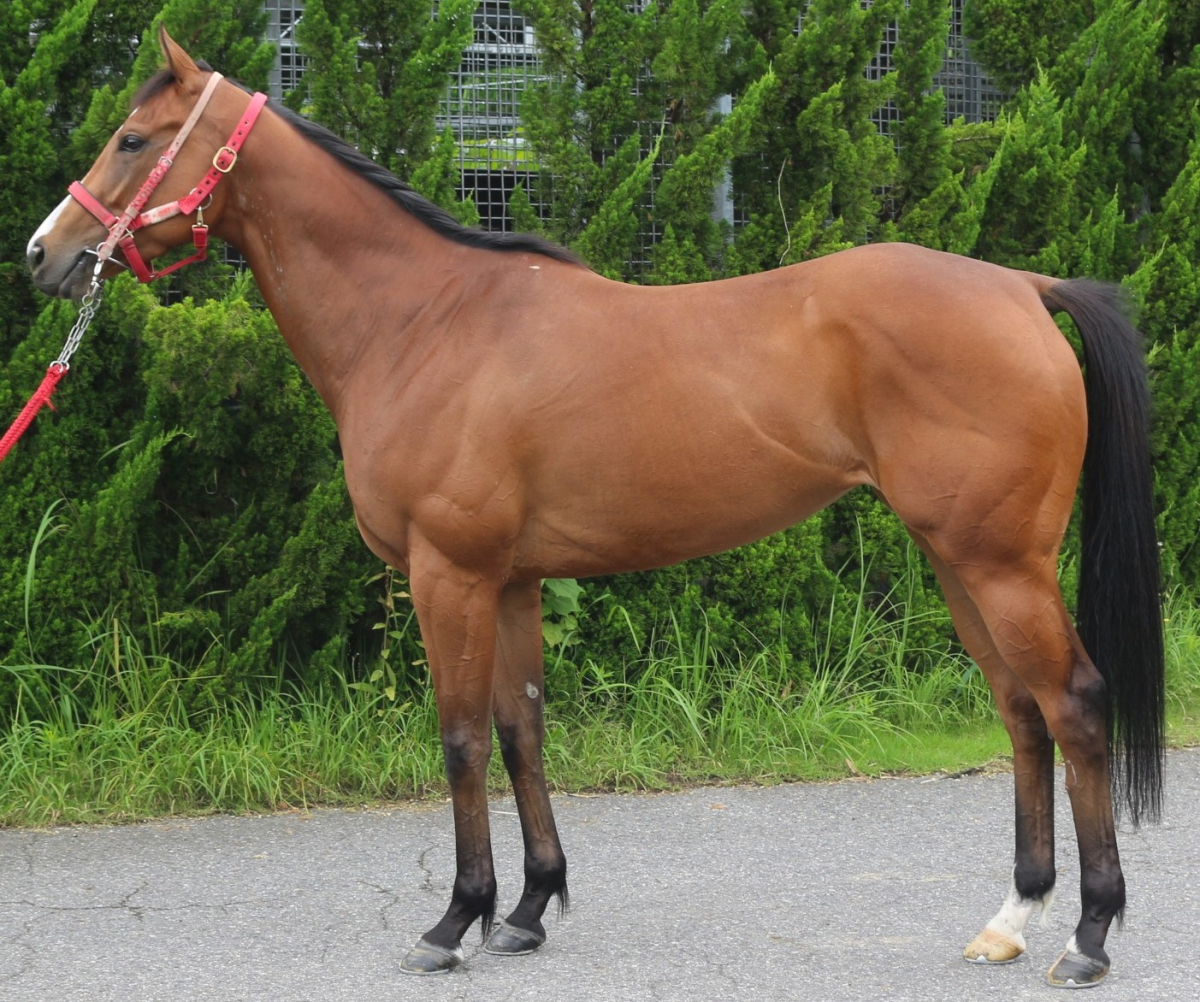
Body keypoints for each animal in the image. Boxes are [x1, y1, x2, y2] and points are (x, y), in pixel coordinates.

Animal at [26, 29, 1163, 988]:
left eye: (133, 138)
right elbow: (522, 731)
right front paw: (529, 909)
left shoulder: (449, 574)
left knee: (1074, 705)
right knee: (1020, 710)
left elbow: (461, 739)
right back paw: (1011, 921)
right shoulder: (515, 581)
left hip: (1000, 562)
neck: (423, 322)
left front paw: (456, 920)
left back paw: (1089, 936)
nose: (44, 253)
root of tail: (1020, 287)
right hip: (955, 559)